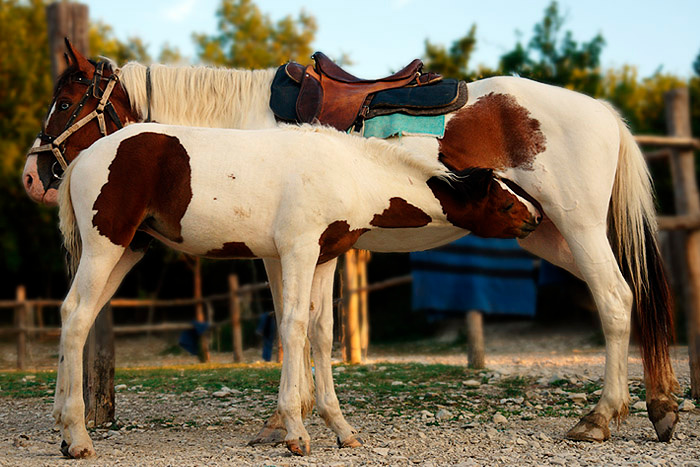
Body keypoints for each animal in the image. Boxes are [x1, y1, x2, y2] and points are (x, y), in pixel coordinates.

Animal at [24, 41, 679, 455]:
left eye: (67, 101)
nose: (34, 176)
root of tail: (603, 113)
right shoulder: (306, 249)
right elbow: (310, 328)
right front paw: (297, 423)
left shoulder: (295, 249)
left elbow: (301, 326)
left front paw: (289, 422)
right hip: (550, 232)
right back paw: (657, 408)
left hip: (575, 226)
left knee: (616, 299)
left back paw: (604, 417)